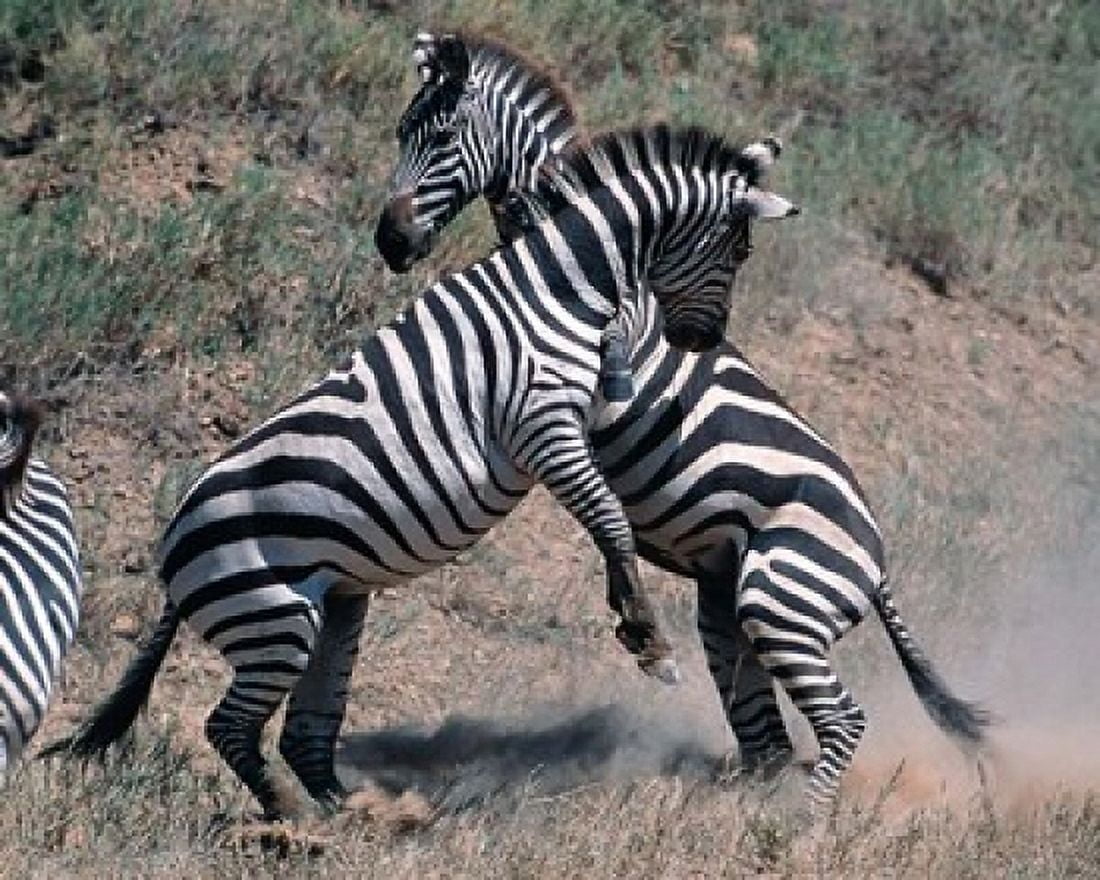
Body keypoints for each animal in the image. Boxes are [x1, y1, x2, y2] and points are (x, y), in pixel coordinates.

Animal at [48, 125, 799, 819]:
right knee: (228, 725)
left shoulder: (575, 413)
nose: (701, 341)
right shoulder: (542, 423)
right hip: (274, 619)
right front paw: (646, 636)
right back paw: (293, 817)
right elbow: (609, 520)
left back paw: (351, 811)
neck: (559, 285)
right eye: (739, 250)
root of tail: (171, 554)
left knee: (301, 730)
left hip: (332, 605)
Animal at [374, 32, 988, 806]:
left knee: (836, 719)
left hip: (782, 598)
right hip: (732, 607)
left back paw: (795, 825)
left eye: (444, 138)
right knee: (766, 737)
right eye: (401, 132)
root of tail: (878, 563)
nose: (390, 242)